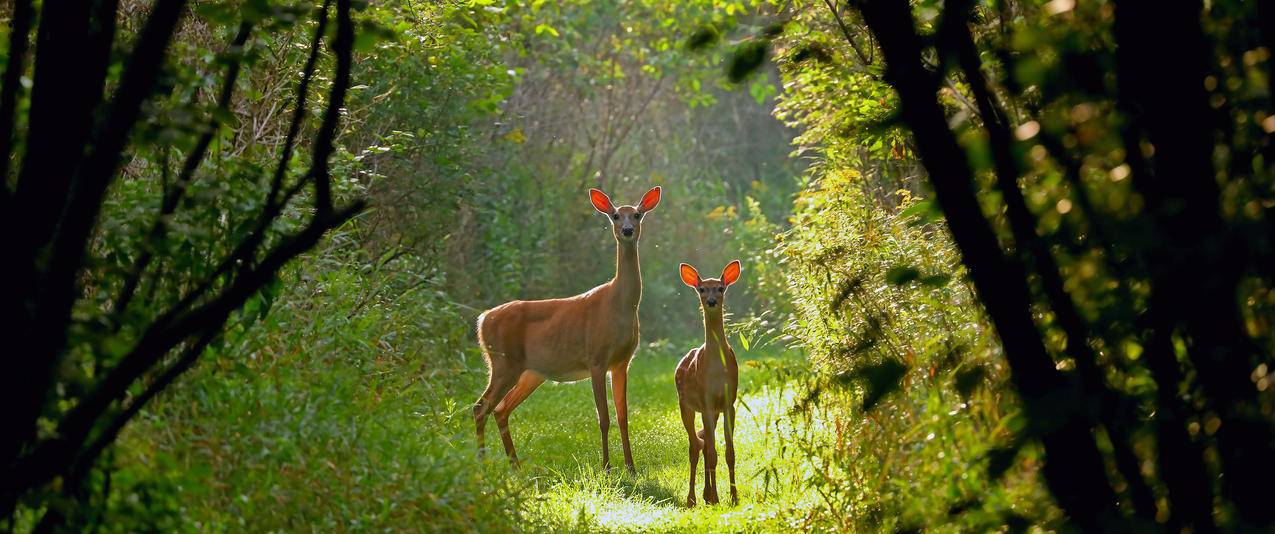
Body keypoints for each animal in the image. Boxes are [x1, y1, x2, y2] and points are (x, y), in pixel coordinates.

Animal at [474, 187, 663, 471]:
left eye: (638, 214)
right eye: (616, 215)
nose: (628, 230)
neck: (619, 305)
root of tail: (483, 319)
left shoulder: (622, 362)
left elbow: (623, 416)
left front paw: (631, 468)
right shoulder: (596, 358)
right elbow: (603, 418)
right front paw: (606, 467)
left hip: (530, 372)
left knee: (500, 409)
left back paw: (514, 465)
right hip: (503, 362)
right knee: (480, 407)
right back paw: (483, 464)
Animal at [673, 261, 744, 507]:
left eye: (721, 288)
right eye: (702, 289)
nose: (711, 301)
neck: (717, 371)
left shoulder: (728, 402)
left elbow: (729, 453)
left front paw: (733, 497)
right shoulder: (705, 401)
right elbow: (713, 452)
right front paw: (716, 497)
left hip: (711, 411)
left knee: (703, 442)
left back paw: (705, 494)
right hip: (685, 404)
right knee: (695, 445)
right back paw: (693, 498)